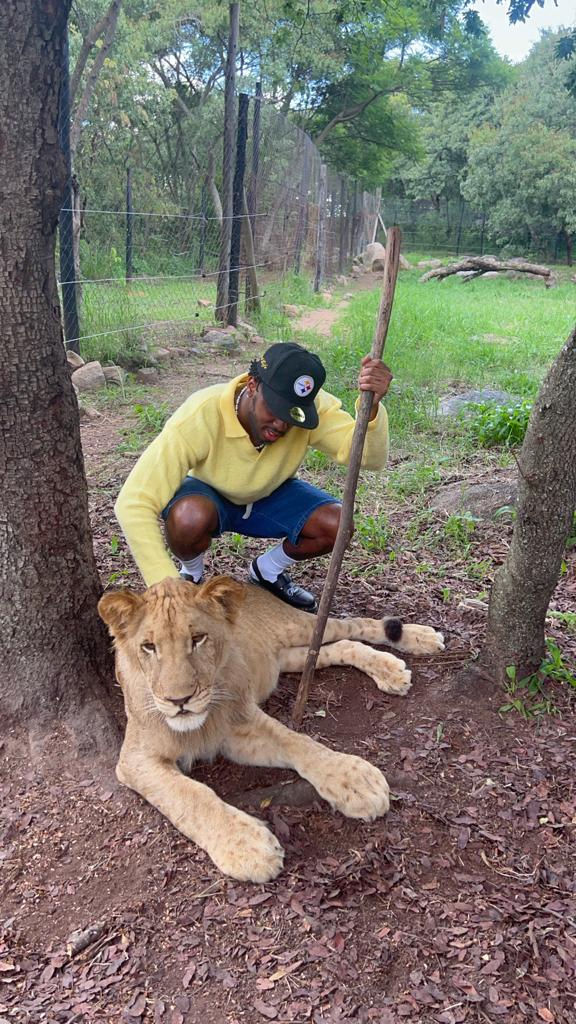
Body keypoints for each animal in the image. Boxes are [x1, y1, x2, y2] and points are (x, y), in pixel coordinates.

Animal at [98, 576, 444, 883]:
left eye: (198, 639)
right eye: (148, 647)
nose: (179, 700)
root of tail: (250, 585)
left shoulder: (239, 721)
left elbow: (297, 741)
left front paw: (356, 780)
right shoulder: (137, 759)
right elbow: (190, 795)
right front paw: (247, 845)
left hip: (299, 627)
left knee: (353, 625)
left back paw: (420, 639)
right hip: (289, 657)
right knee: (341, 645)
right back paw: (391, 668)